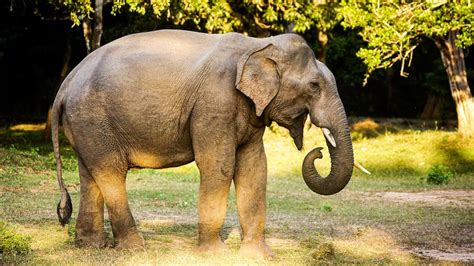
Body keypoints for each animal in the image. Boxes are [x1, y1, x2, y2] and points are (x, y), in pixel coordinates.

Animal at [52, 29, 352, 258]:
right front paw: (216, 254)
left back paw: (91, 246)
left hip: (86, 124)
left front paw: (259, 256)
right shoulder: (214, 104)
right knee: (111, 173)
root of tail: (65, 84)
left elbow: (254, 168)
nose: (318, 152)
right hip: (93, 118)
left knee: (90, 174)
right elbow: (219, 166)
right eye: (314, 86)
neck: (258, 44)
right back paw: (135, 249)